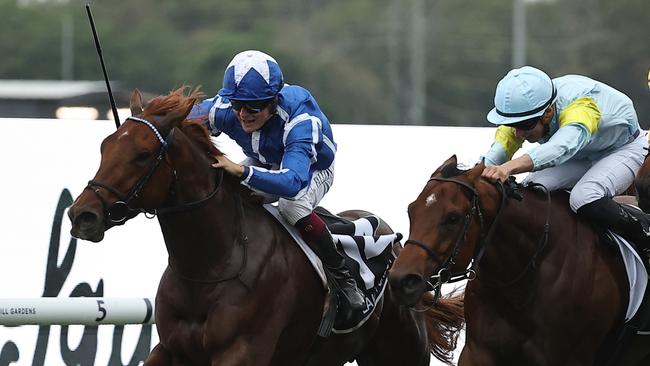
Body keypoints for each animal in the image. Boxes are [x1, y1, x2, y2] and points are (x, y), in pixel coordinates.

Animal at [66, 88, 464, 366]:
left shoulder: (242, 351)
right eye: (104, 147)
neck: (212, 265)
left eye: (143, 154)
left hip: (400, 352)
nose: (82, 214)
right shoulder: (170, 349)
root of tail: (395, 243)